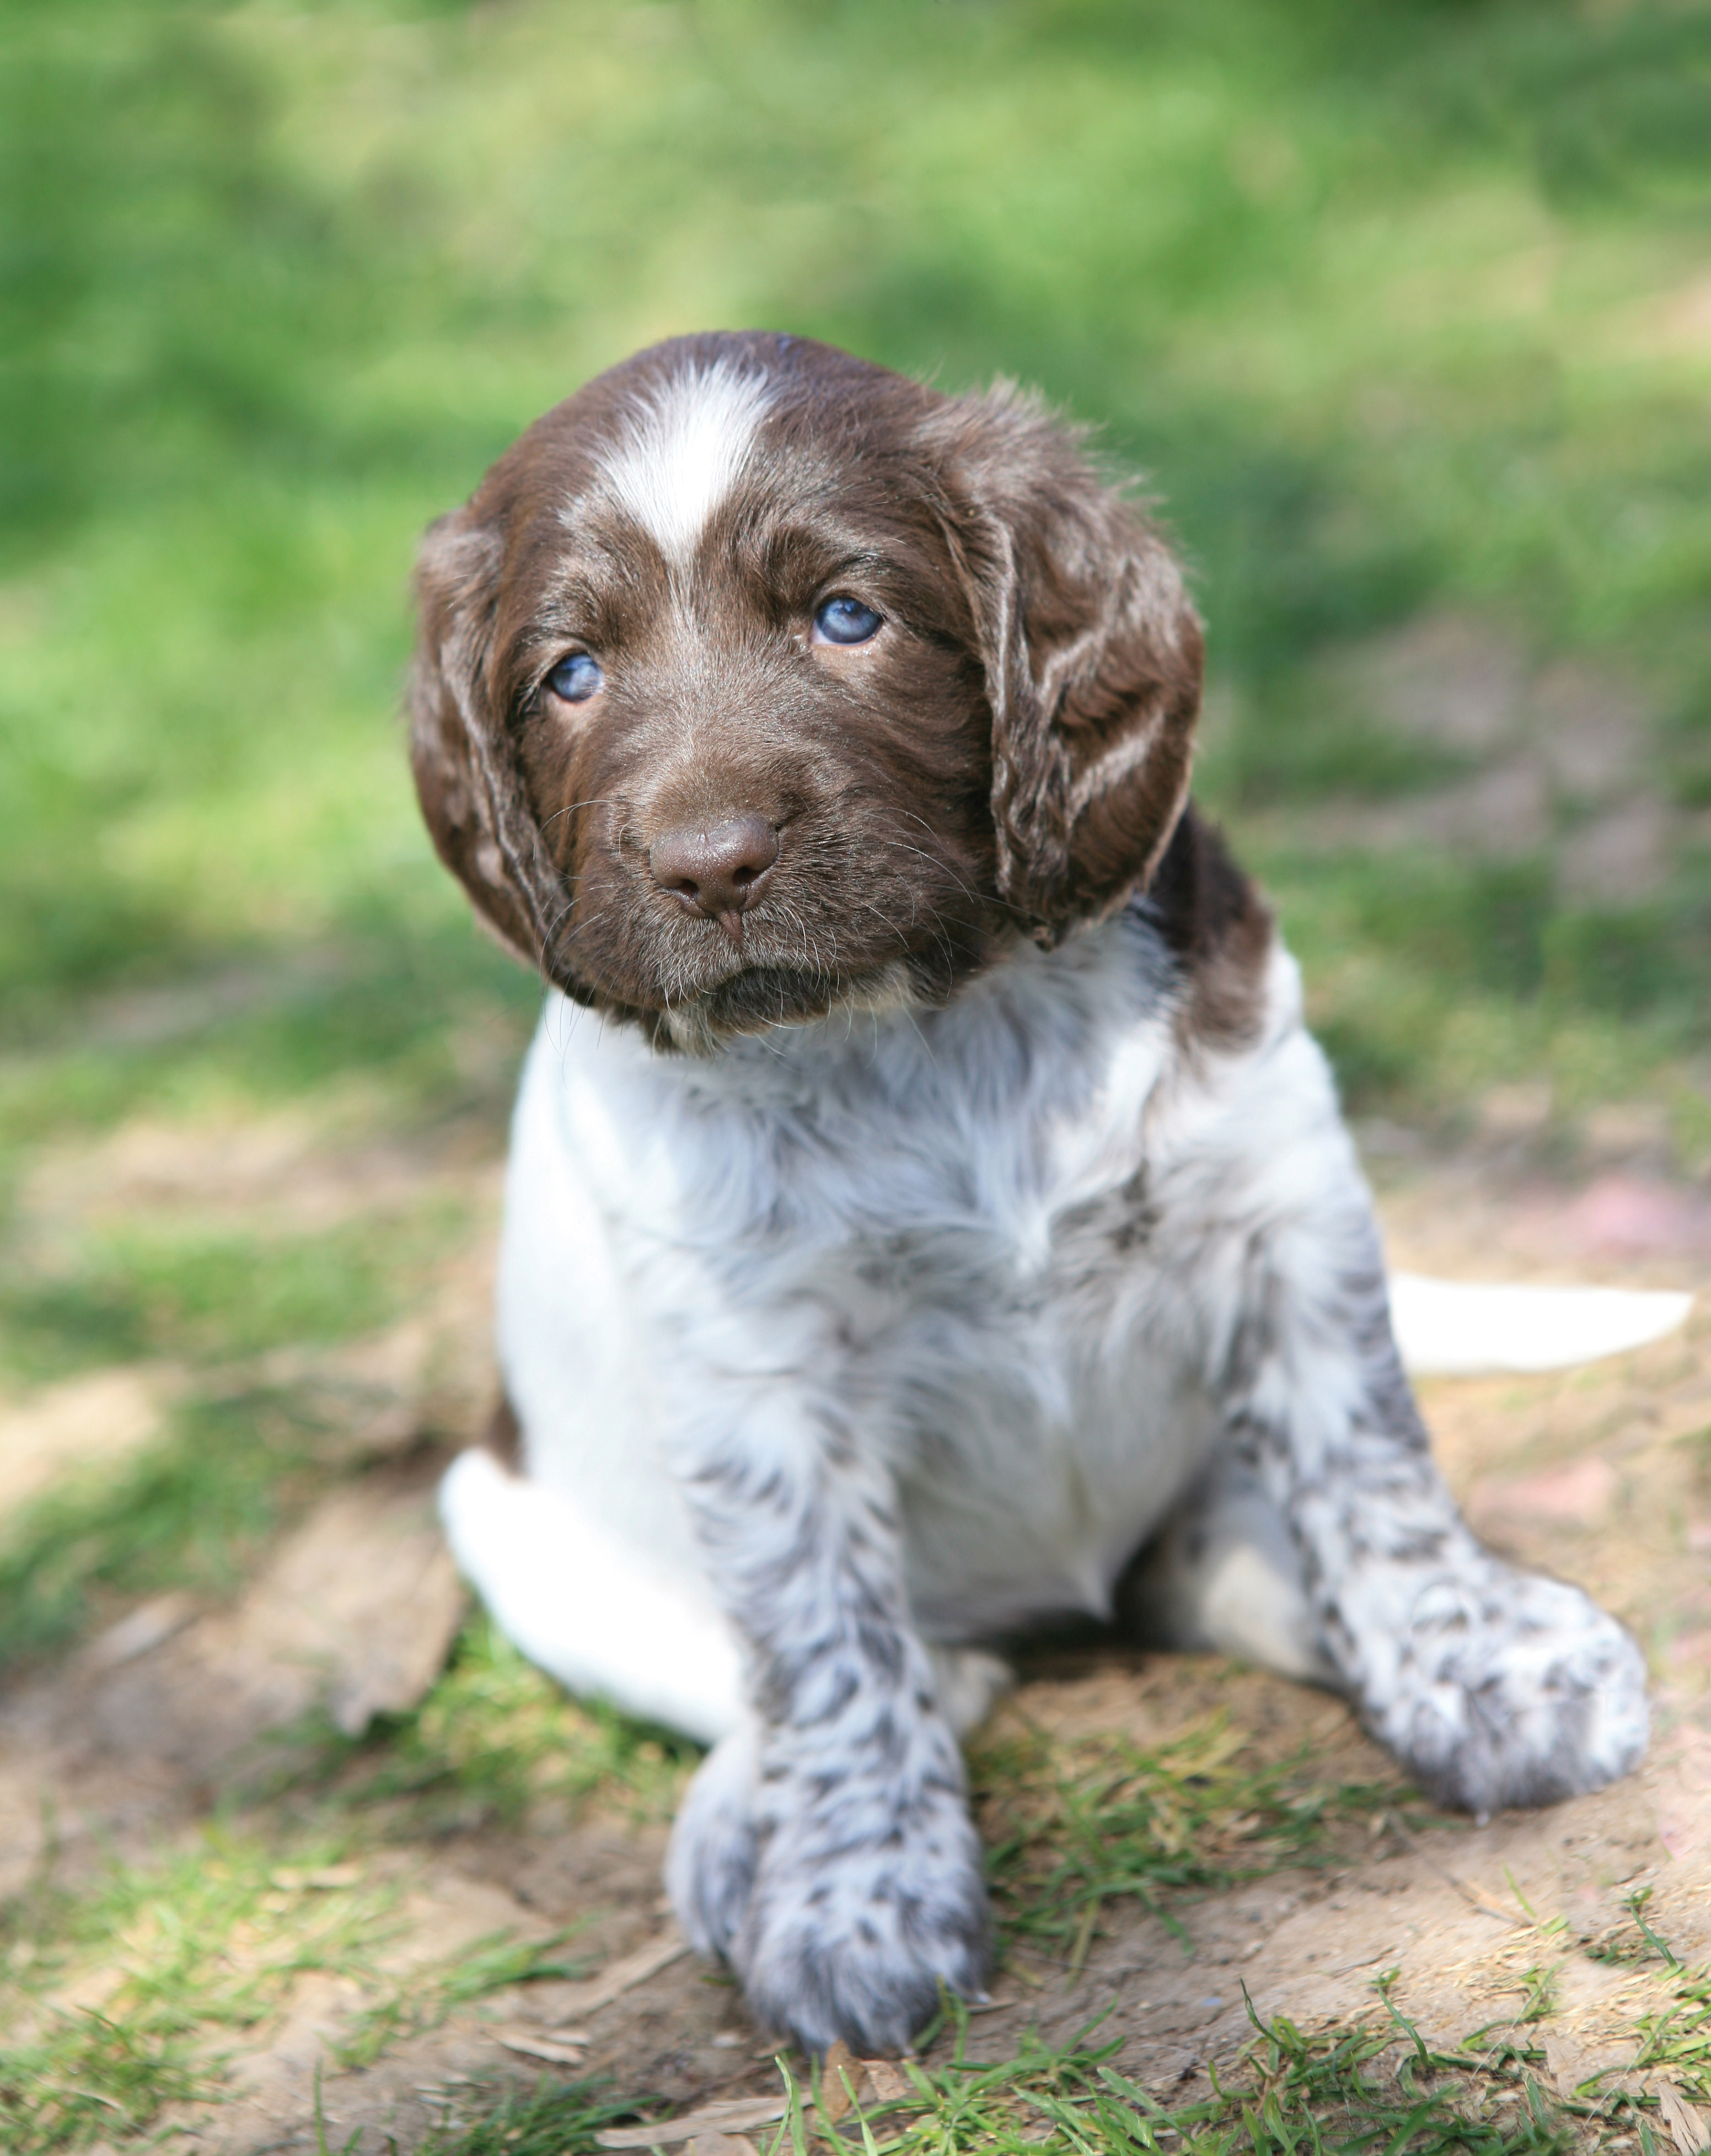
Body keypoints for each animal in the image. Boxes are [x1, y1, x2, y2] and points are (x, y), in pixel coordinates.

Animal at [407, 332, 1648, 2052]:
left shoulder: (1280, 1195)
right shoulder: (752, 1370)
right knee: (839, 1680)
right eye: (569, 675)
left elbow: (1371, 1465)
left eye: (845, 617)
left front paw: (1480, 1667)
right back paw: (747, 1822)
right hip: (505, 1516)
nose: (708, 864)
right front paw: (854, 1895)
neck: (918, 1027)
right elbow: (824, 1642)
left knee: (1210, 1556)